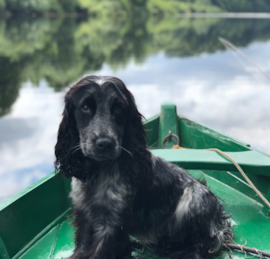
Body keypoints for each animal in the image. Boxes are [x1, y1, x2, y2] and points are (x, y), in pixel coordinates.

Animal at [54, 75, 232, 259]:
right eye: (85, 107)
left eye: (119, 108)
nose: (105, 143)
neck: (98, 171)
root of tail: (220, 219)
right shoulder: (84, 213)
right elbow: (82, 247)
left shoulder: (112, 225)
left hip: (192, 199)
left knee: (203, 242)